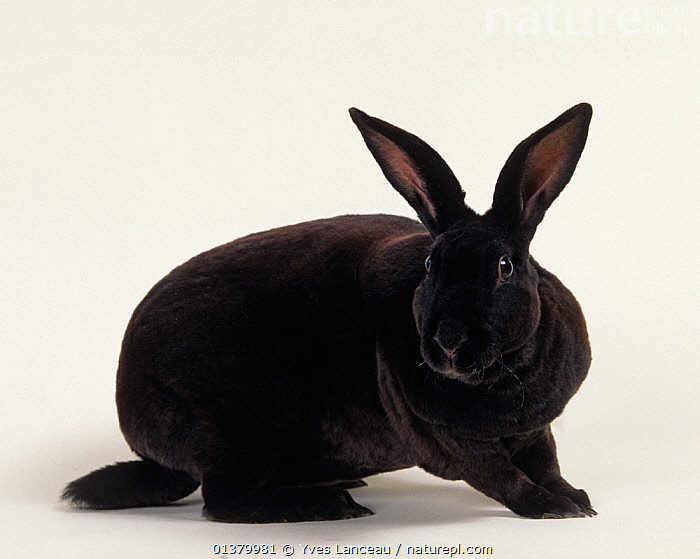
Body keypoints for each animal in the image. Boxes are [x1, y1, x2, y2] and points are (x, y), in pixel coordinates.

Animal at [62, 103, 595, 523]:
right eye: (430, 266)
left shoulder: (537, 430)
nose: (448, 341)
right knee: (224, 499)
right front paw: (554, 508)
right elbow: (501, 477)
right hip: (243, 424)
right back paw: (329, 504)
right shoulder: (452, 442)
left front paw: (576, 498)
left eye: (505, 267)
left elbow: (547, 462)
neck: (503, 375)